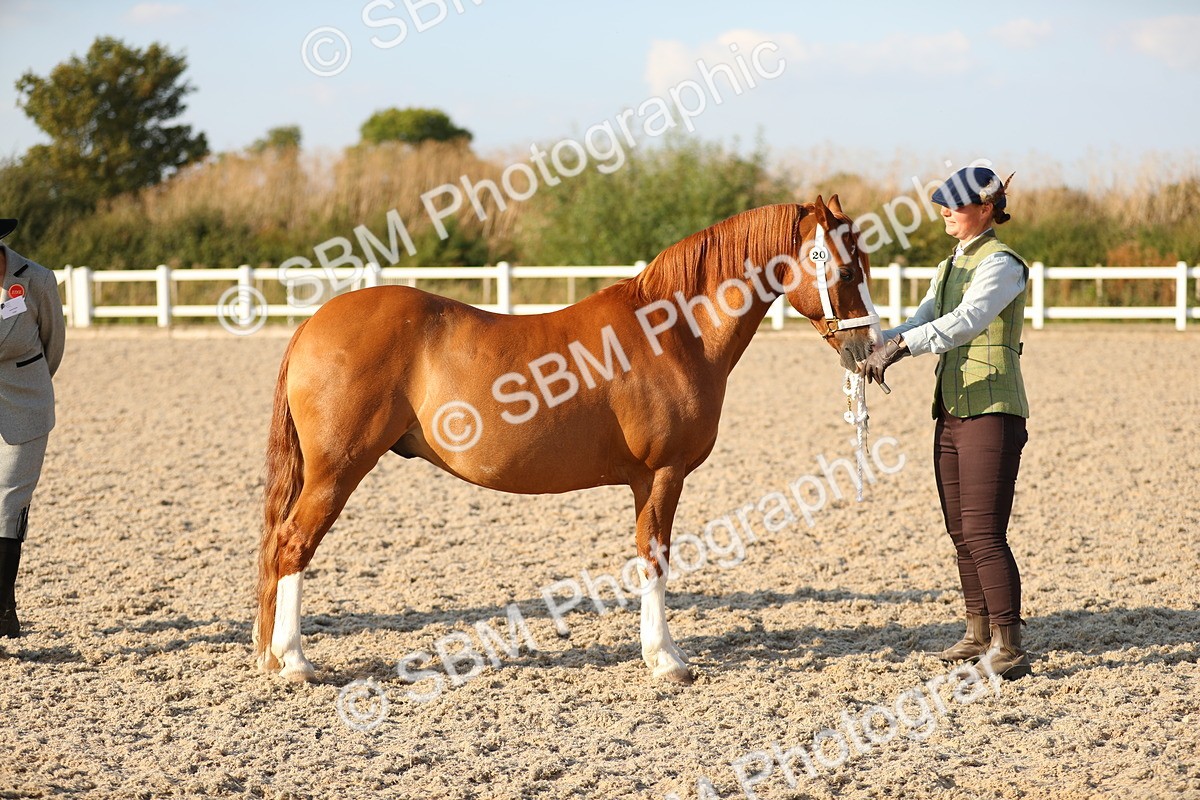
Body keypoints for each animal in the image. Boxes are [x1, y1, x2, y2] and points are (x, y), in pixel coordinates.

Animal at [254, 196, 883, 685]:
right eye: (848, 272)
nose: (870, 352)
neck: (677, 330)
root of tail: (313, 323)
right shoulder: (664, 473)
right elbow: (656, 557)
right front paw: (667, 660)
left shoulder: (644, 480)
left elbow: (645, 557)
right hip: (337, 471)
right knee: (292, 546)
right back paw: (295, 662)